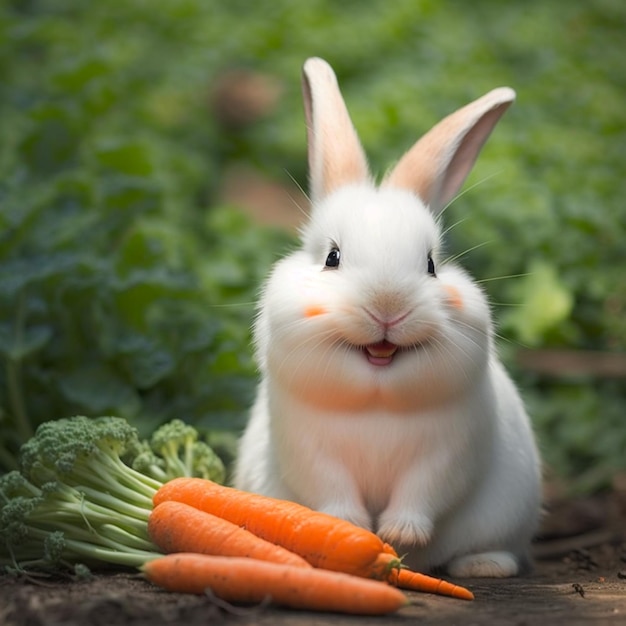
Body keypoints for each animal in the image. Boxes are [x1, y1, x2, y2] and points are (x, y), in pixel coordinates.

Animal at [234, 58, 540, 576]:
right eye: (332, 258)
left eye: (432, 265)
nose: (388, 307)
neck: (376, 400)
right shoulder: (309, 451)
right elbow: (332, 492)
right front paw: (352, 529)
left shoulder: (447, 453)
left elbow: (423, 494)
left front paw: (399, 535)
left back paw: (482, 567)